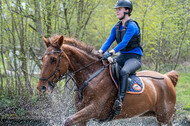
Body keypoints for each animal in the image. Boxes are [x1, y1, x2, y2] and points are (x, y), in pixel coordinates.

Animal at [36, 34, 178, 126]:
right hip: (154, 114)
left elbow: (68, 120)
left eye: (53, 59)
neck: (91, 76)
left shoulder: (94, 109)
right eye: (42, 58)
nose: (41, 87)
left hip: (164, 115)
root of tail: (167, 77)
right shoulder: (82, 116)